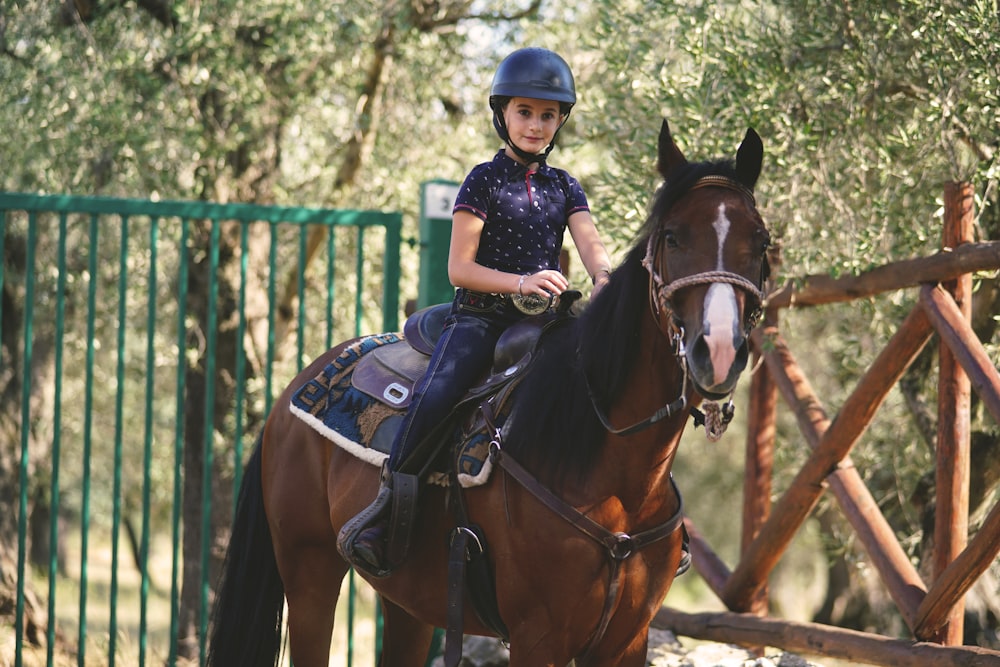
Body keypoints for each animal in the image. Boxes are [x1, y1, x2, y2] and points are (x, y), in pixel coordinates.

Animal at [209, 121, 772, 667]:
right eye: (672, 237)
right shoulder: (537, 638)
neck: (608, 466)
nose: (719, 350)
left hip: (409, 603)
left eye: (762, 241)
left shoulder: (626, 642)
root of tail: (292, 393)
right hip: (310, 573)